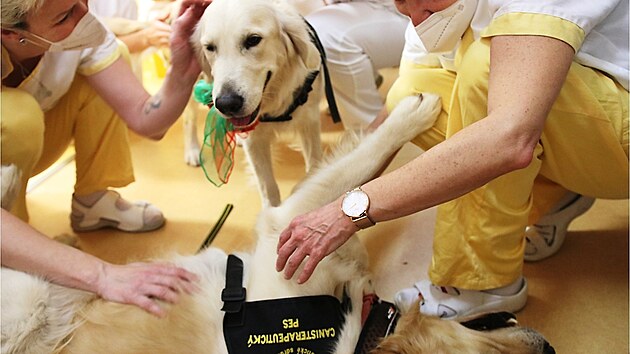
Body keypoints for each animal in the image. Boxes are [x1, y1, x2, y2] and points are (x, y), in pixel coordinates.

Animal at [0, 94, 552, 354]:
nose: (547, 346)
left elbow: (354, 184)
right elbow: (360, 167)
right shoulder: (287, 229)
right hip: (26, 303)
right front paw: (411, 116)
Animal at [193, 0, 330, 207]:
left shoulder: (310, 122)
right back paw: (192, 150)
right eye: (210, 47)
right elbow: (268, 188)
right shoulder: (255, 140)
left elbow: (314, 167)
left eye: (253, 40)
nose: (227, 104)